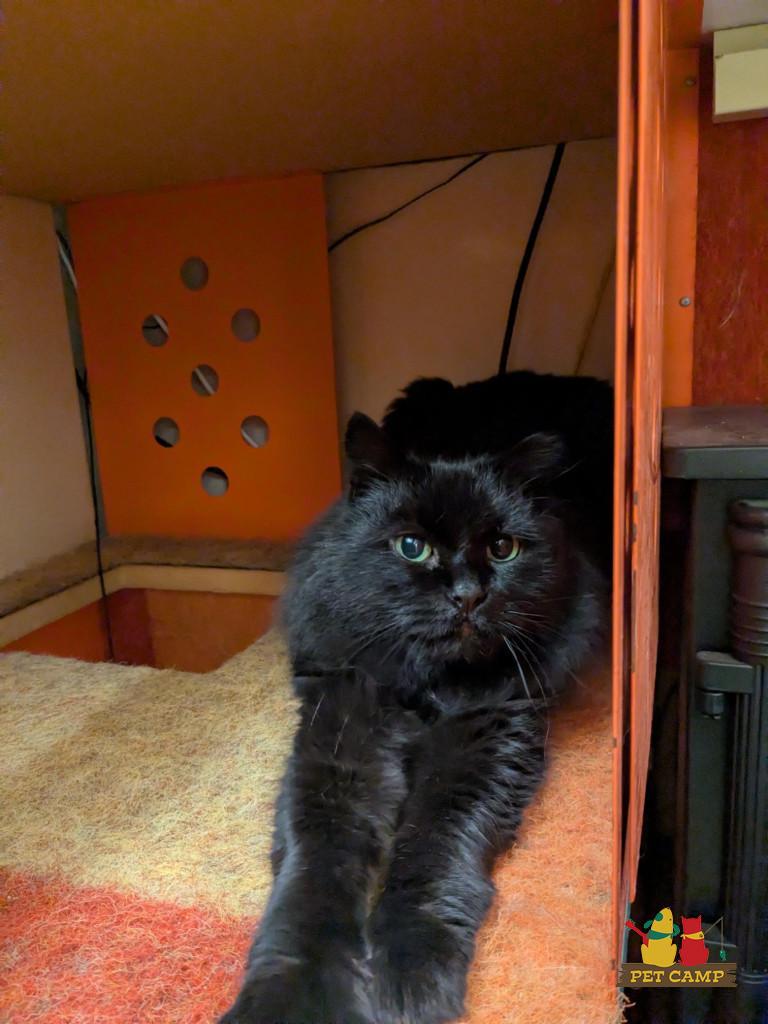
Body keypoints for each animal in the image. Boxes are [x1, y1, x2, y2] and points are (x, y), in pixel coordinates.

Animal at [219, 372, 612, 1024]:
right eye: (411, 547)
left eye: (503, 548)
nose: (468, 596)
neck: (427, 681)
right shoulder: (342, 727)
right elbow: (313, 874)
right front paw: (290, 999)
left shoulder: (485, 737)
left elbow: (433, 856)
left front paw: (409, 985)